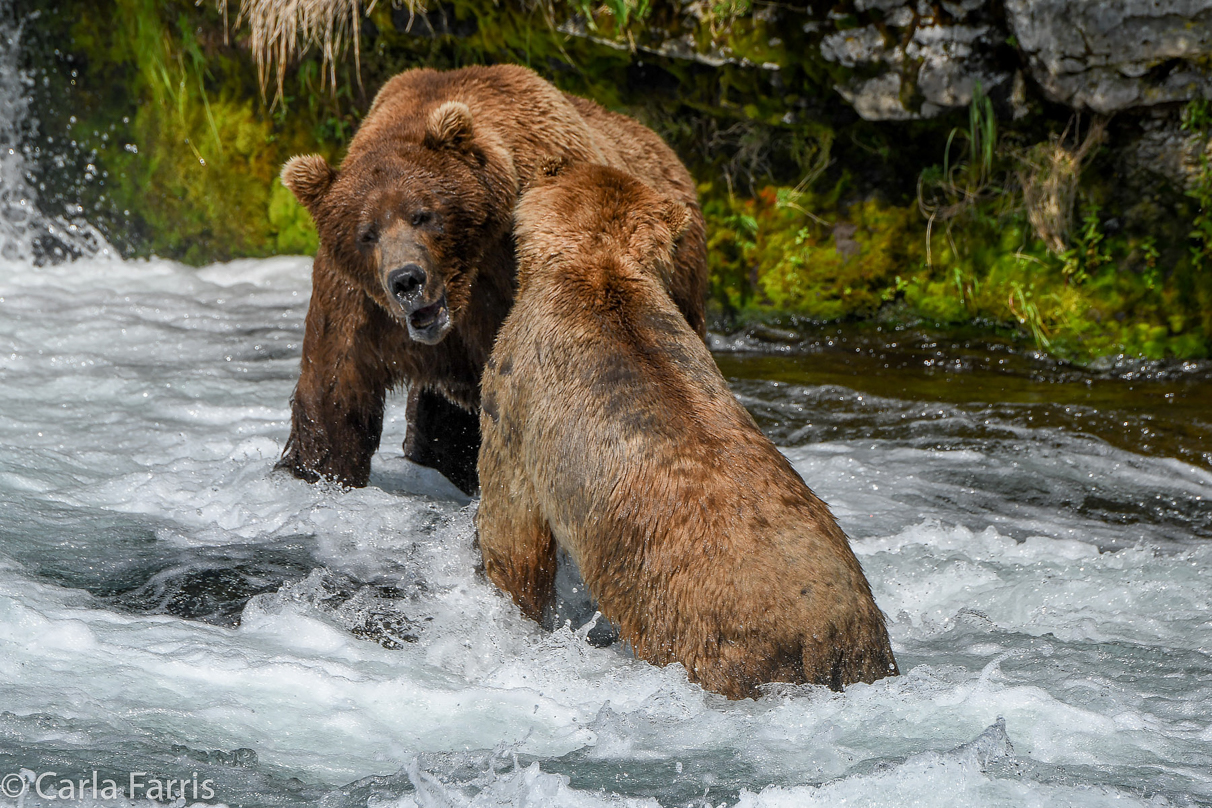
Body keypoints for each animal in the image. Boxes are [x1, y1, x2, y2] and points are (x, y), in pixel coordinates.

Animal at [277, 64, 707, 494]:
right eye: (367, 233)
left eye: (423, 214)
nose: (407, 280)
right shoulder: (356, 302)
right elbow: (333, 395)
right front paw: (321, 469)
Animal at [475, 165, 901, 702]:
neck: (598, 261)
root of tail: (826, 637)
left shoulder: (515, 384)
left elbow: (512, 520)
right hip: (865, 647)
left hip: (703, 632)